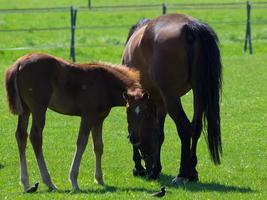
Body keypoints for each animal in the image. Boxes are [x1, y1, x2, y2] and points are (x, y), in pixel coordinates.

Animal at [4, 52, 144, 191]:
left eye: (145, 110)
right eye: (128, 110)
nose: (134, 138)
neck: (104, 82)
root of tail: (19, 64)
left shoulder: (99, 119)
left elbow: (98, 146)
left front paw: (99, 179)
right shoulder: (88, 116)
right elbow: (81, 143)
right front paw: (74, 181)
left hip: (25, 109)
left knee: (21, 135)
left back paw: (26, 183)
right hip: (38, 108)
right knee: (35, 136)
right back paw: (49, 182)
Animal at [122, 13, 223, 184]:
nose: (147, 165)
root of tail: (189, 27)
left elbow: (139, 129)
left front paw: (140, 167)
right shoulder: (159, 101)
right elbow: (159, 133)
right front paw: (154, 169)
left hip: (172, 97)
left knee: (184, 127)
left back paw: (182, 173)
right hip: (198, 91)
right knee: (195, 127)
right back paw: (192, 170)